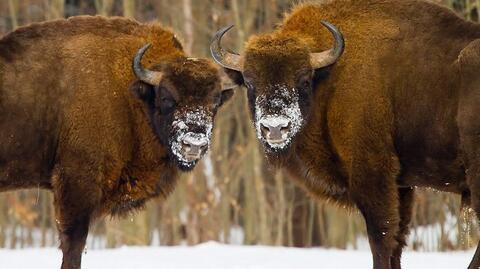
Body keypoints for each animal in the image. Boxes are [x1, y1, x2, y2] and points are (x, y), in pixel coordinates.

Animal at [0, 15, 233, 266]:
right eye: (166, 96)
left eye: (216, 101)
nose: (194, 143)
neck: (130, 95)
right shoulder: (77, 183)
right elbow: (74, 243)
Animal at [212, 0, 480, 268]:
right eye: (250, 83)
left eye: (304, 80)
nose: (276, 127)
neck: (330, 77)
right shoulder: (401, 186)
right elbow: (398, 239)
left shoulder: (371, 175)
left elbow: (382, 238)